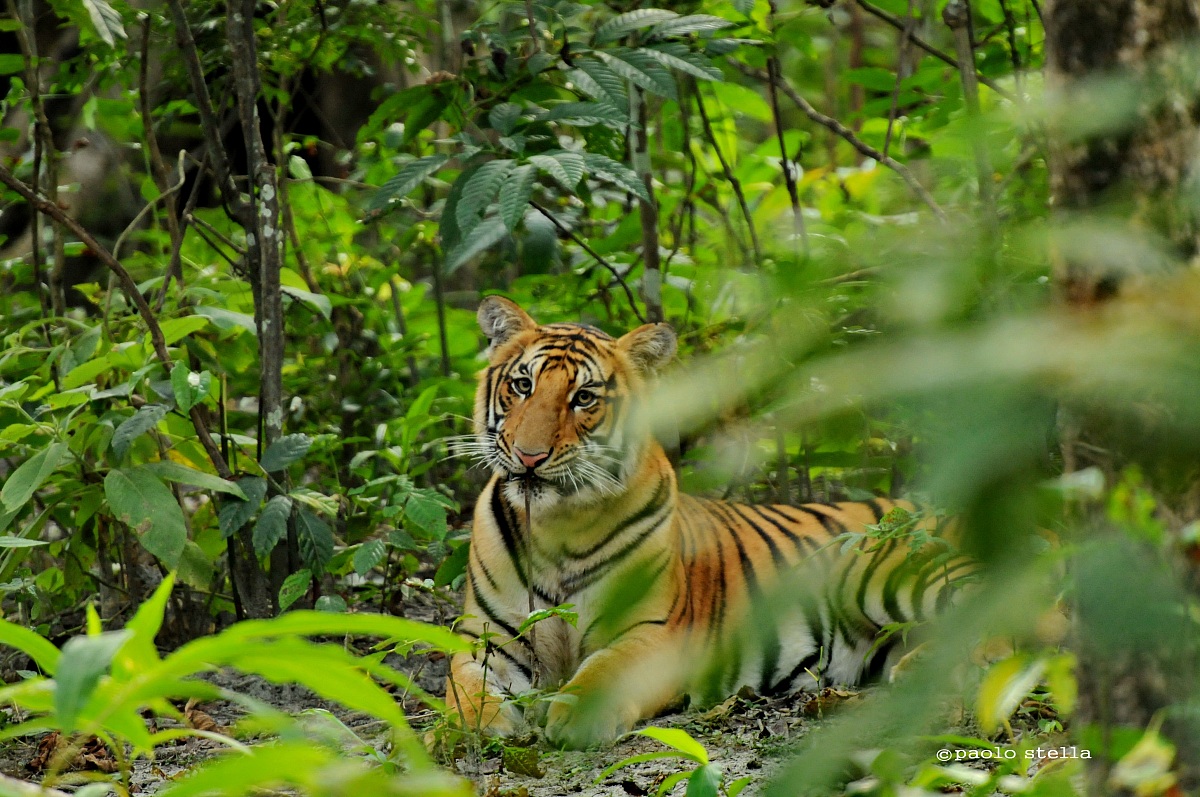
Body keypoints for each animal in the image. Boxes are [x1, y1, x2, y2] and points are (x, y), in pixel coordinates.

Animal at [445, 296, 972, 749]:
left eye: (585, 397)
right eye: (522, 386)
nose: (529, 457)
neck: (556, 524)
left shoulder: (655, 632)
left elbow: (604, 671)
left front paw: (575, 715)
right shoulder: (488, 639)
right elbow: (461, 684)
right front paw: (472, 727)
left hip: (889, 572)